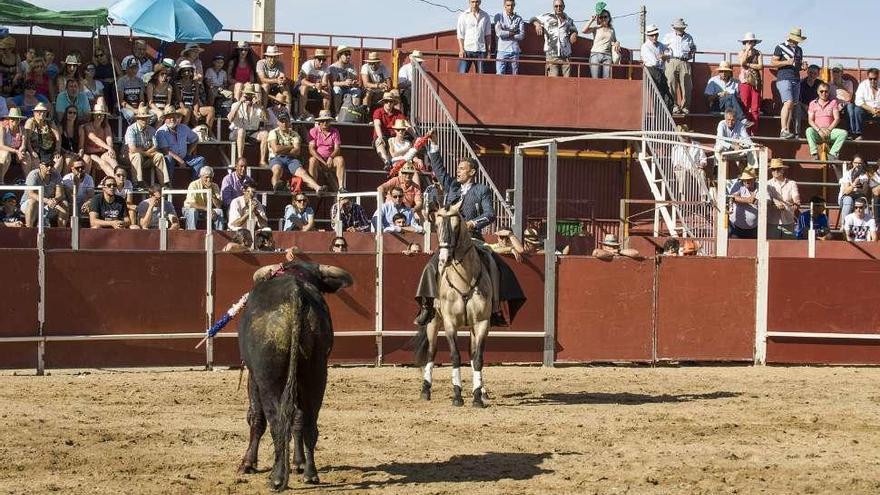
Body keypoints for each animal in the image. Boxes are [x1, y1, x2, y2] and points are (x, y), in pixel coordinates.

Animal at [241, 264, 354, 492]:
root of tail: (295, 291)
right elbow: (298, 419)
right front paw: (298, 463)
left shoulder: (254, 377)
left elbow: (256, 417)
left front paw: (248, 463)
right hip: (316, 373)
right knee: (308, 420)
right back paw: (310, 473)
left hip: (269, 380)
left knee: (276, 422)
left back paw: (277, 478)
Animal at [414, 200, 496, 408]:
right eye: (436, 225)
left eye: (457, 225)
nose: (444, 259)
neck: (465, 279)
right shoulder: (450, 323)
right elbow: (455, 356)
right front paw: (457, 395)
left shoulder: (482, 323)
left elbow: (478, 358)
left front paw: (477, 396)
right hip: (434, 321)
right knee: (431, 352)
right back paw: (425, 390)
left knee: (472, 353)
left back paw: (482, 391)